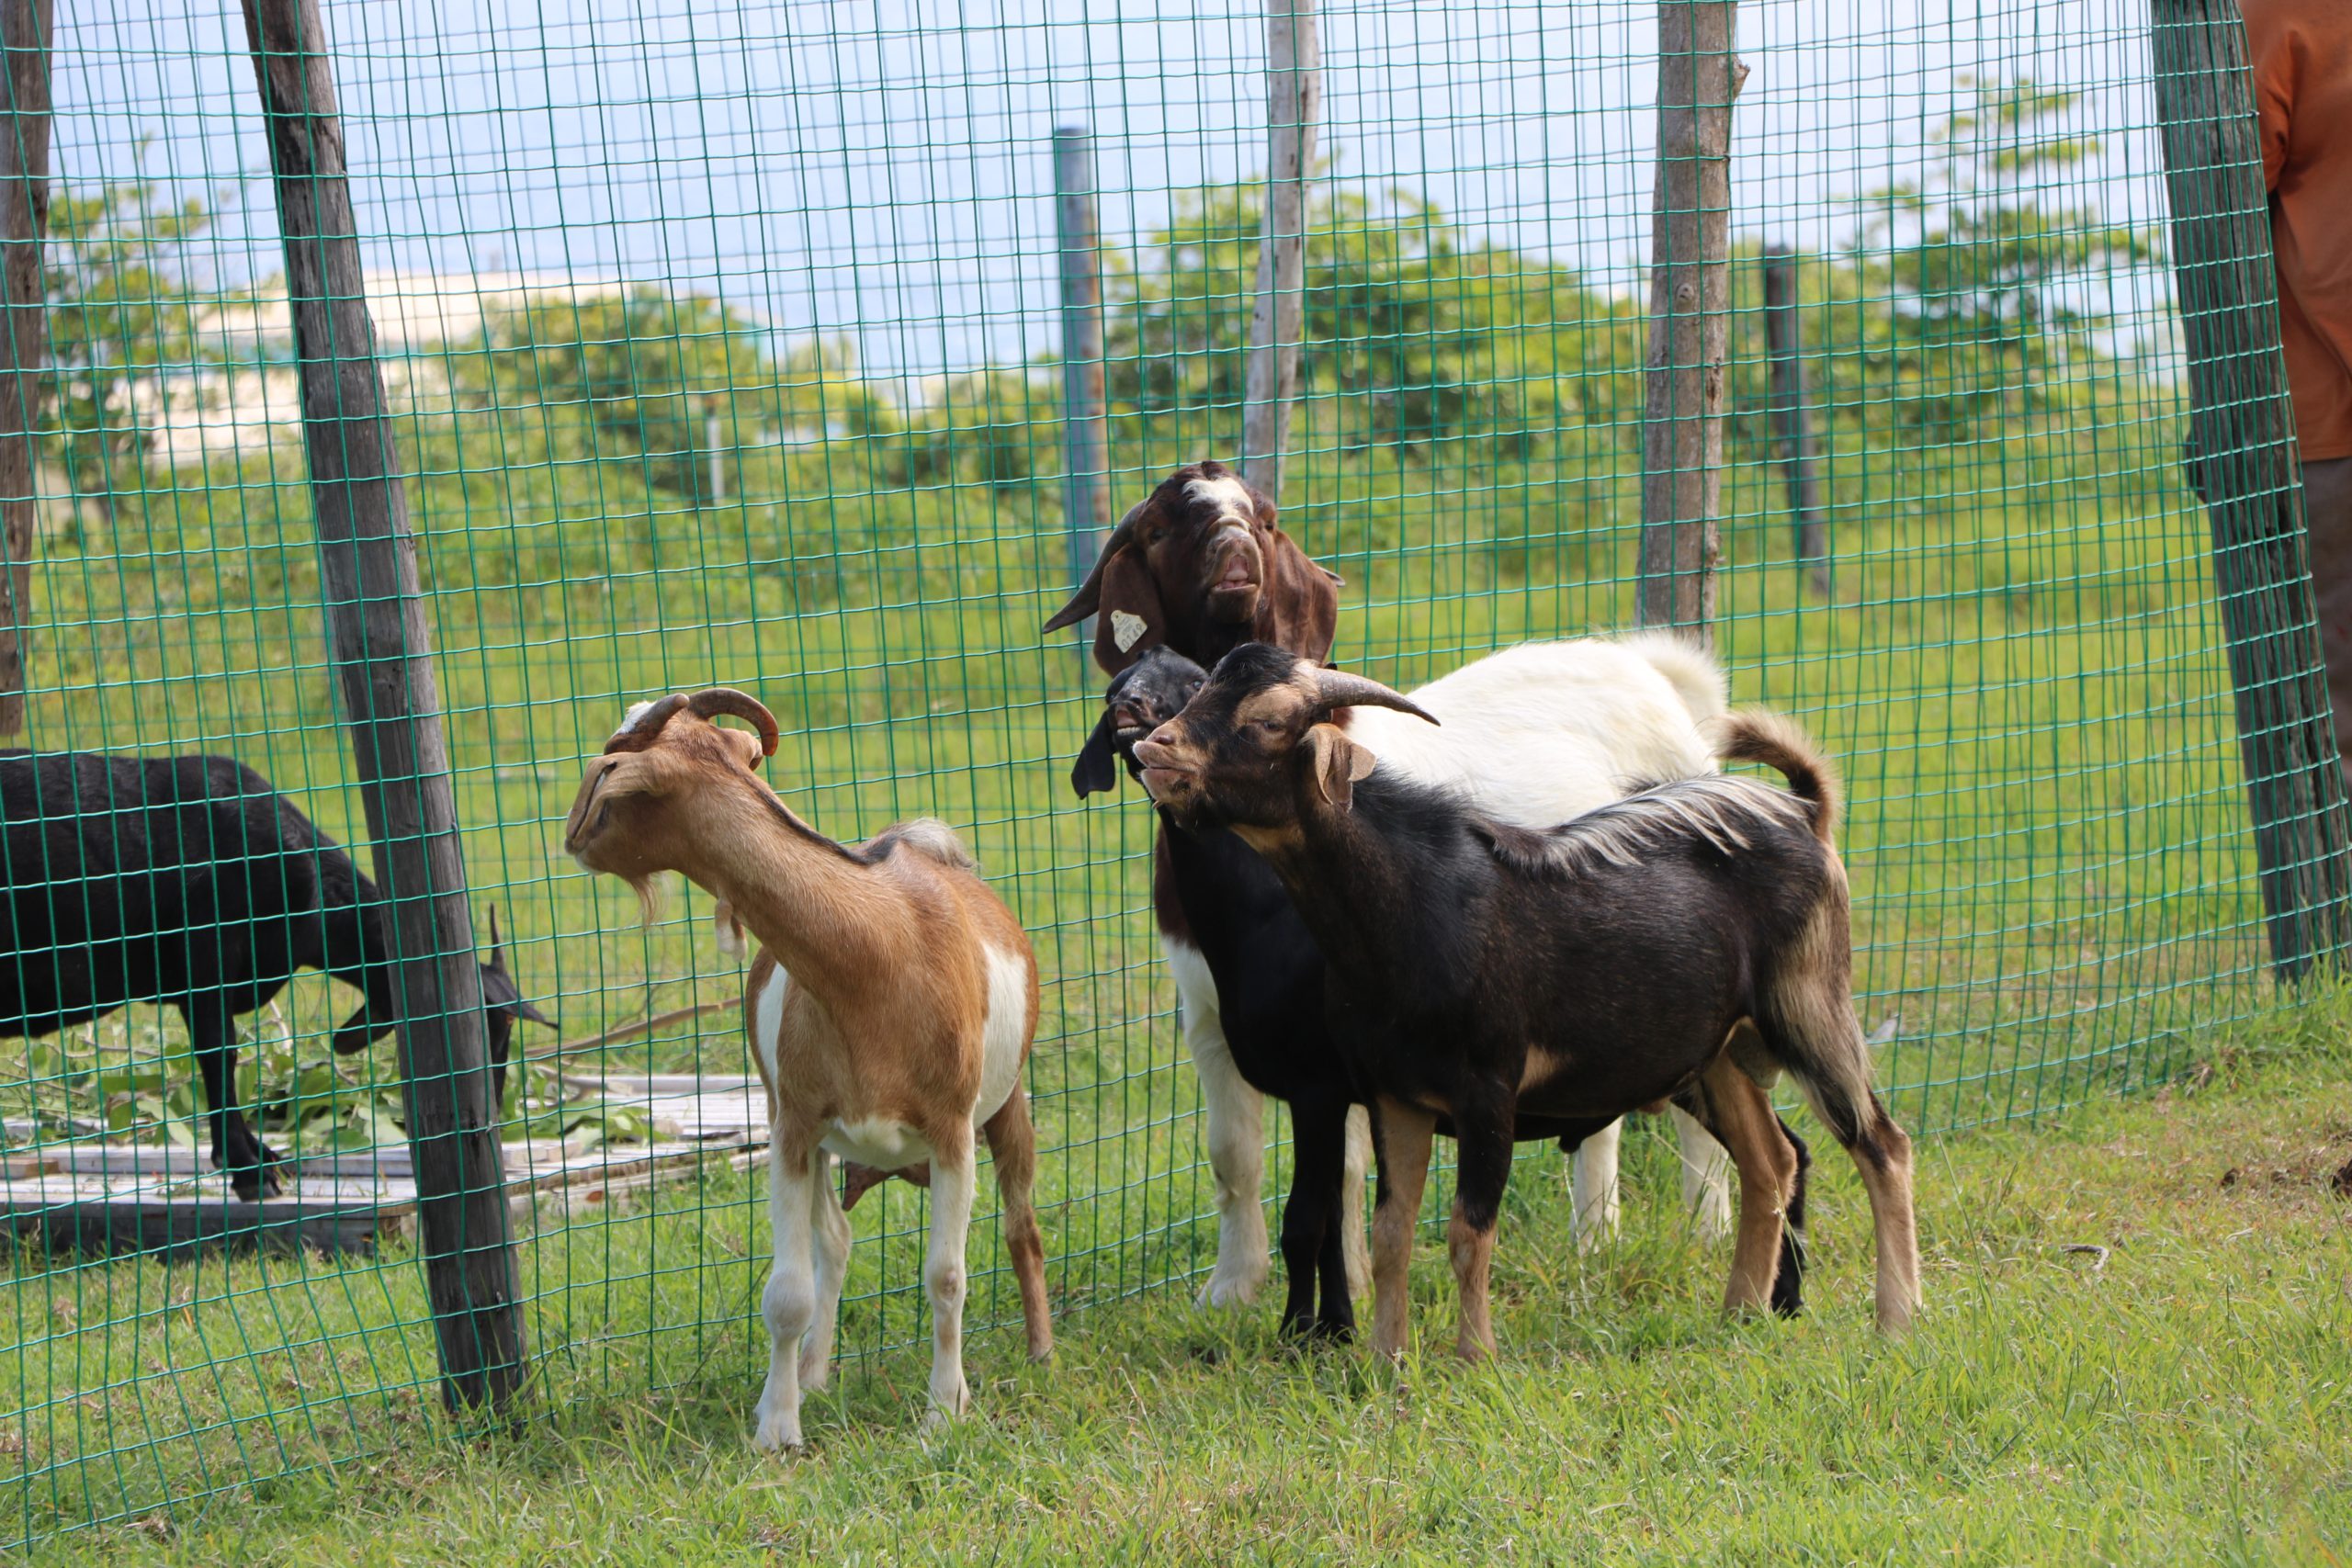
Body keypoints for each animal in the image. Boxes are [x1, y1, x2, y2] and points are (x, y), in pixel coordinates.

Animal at [0, 751, 555, 1194]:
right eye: (490, 1024)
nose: (493, 1120)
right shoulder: (207, 959)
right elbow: (220, 1054)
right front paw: (247, 1168)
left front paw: (259, 1154)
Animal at [560, 691, 1048, 1457]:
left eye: (615, 767)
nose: (574, 837)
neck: (874, 956)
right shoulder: (792, 1124)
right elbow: (788, 1291)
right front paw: (777, 1425)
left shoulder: (951, 1130)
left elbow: (946, 1276)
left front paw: (945, 1410)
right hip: (820, 1138)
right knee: (835, 1242)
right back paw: (815, 1372)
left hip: (1008, 1104)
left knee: (1022, 1225)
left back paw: (1041, 1351)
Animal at [1138, 649, 1928, 1363]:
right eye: (1202, 691)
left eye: (1268, 720)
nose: (1155, 748)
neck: (1415, 898)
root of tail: (1804, 811)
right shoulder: (1395, 1095)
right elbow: (1393, 1232)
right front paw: (1388, 1362)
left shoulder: (1488, 1089)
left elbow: (1468, 1231)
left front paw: (1474, 1358)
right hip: (1721, 1051)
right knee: (1771, 1161)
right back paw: (1739, 1314)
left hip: (1808, 1007)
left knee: (1881, 1145)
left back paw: (1895, 1322)